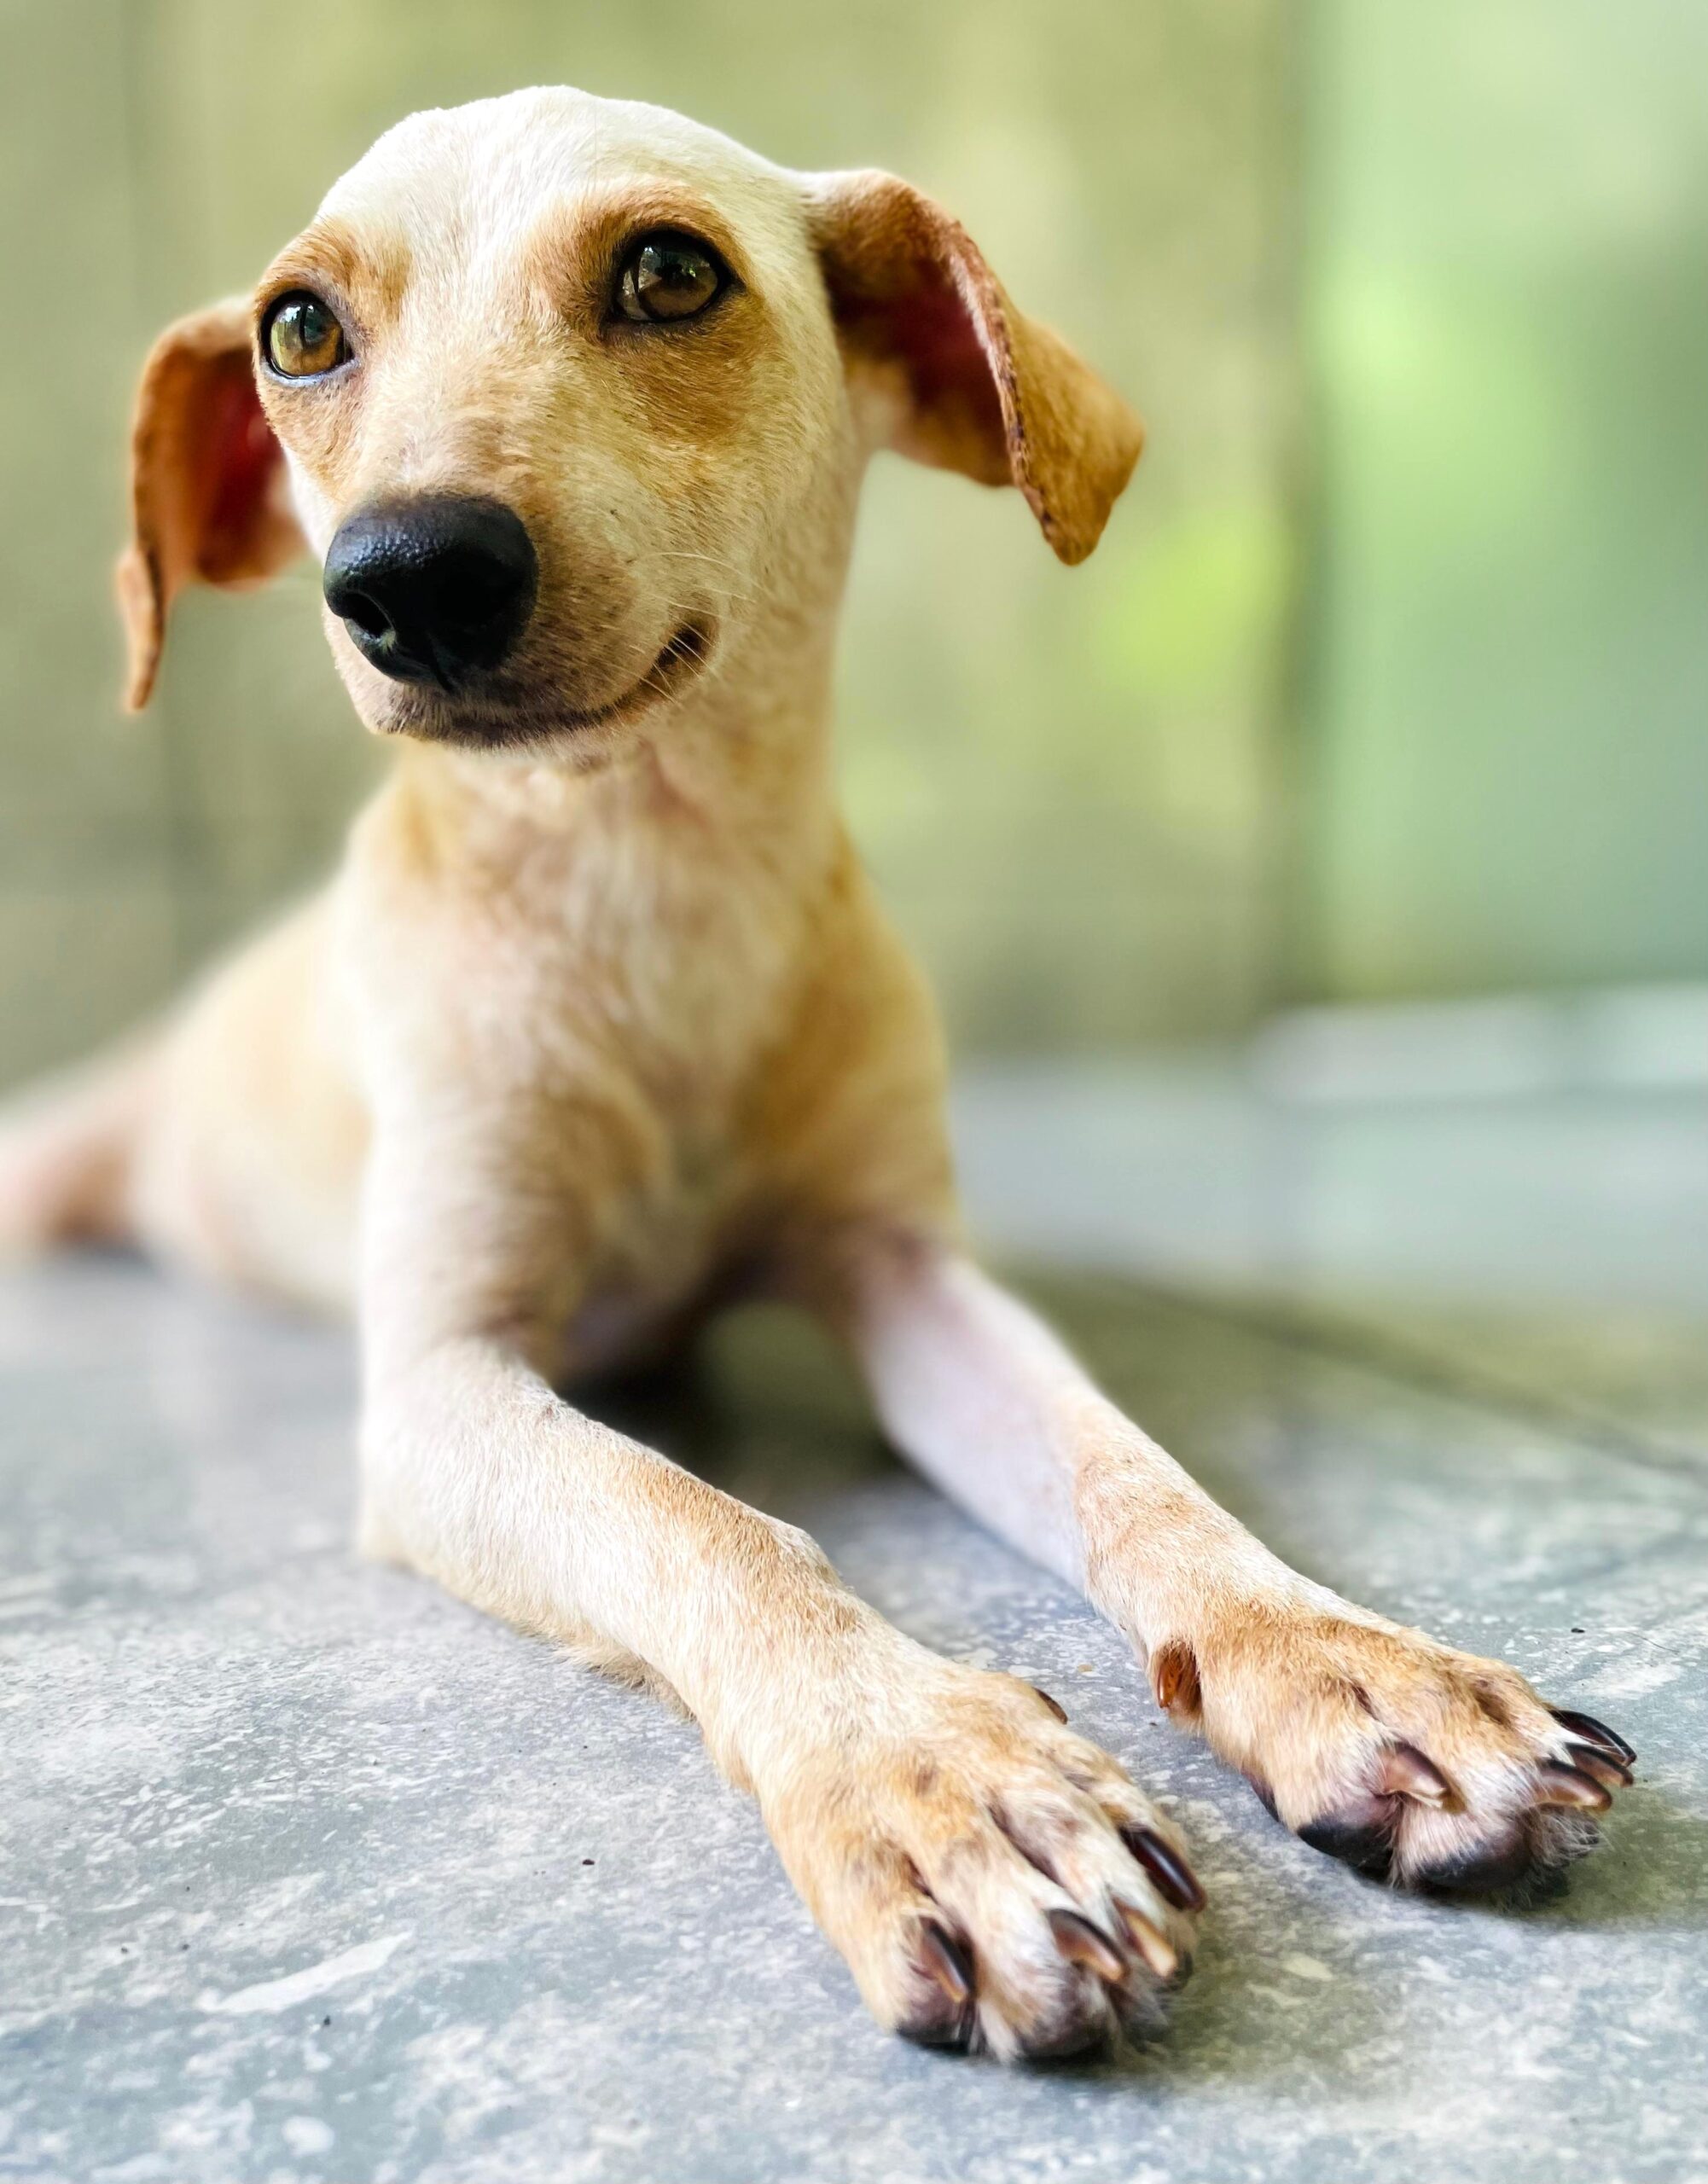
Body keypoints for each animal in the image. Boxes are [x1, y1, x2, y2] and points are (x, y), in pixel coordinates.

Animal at [0, 89, 1642, 2061]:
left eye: (667, 271)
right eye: (300, 327)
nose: (406, 578)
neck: (653, 894)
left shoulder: (902, 1270)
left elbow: (1135, 1476)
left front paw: (1346, 1663)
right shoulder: (441, 1384)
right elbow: (707, 1523)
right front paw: (931, 1775)